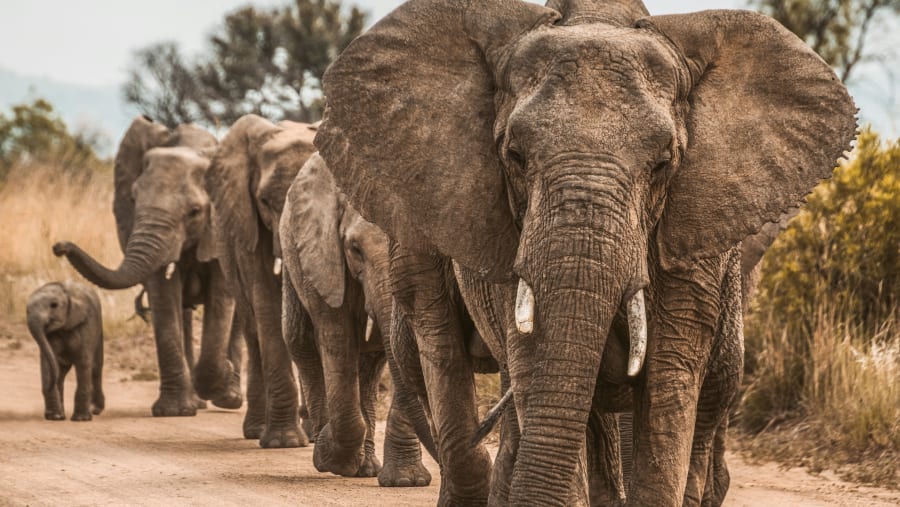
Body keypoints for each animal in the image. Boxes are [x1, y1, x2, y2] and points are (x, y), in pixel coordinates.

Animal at [26, 280, 104, 421]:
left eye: (54, 305)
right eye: (26, 310)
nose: (48, 386)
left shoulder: (87, 324)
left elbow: (83, 362)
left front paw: (81, 419)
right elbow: (48, 362)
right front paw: (54, 417)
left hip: (99, 331)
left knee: (95, 368)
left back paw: (95, 410)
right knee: (61, 373)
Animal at [53, 116, 241, 417]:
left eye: (195, 212)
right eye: (133, 200)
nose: (59, 246)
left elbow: (222, 298)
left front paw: (221, 375)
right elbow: (163, 296)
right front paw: (174, 411)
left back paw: (229, 398)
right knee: (184, 312)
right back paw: (198, 401)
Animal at [204, 114, 318, 448]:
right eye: (265, 201)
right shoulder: (247, 222)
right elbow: (266, 301)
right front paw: (284, 442)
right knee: (253, 328)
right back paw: (257, 430)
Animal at [279, 152, 438, 484]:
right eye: (355, 249)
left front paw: (407, 482)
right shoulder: (324, 255)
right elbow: (337, 338)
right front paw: (329, 456)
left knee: (371, 364)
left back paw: (364, 468)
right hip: (292, 256)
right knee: (301, 342)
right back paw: (328, 451)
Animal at [314, 0, 856, 505]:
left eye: (663, 164)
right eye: (514, 157)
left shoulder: (696, 228)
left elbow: (669, 380)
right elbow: (537, 358)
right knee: (447, 344)